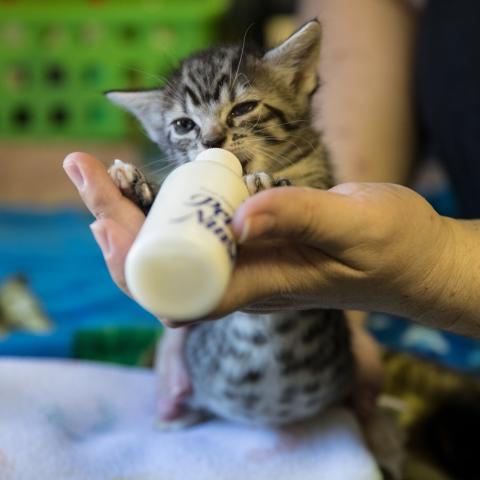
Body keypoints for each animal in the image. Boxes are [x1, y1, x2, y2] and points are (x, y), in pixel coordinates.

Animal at [106, 20, 352, 426]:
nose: (212, 140)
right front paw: (136, 187)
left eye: (245, 108)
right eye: (184, 125)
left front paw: (263, 191)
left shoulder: (323, 183)